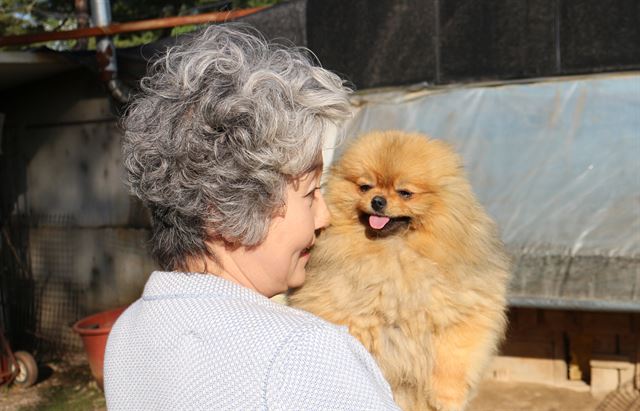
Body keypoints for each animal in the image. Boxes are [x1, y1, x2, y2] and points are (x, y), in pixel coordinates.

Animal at [290, 131, 510, 411]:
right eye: (365, 187)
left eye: (405, 193)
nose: (378, 201)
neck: (395, 252)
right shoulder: (346, 312)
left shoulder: (463, 313)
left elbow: (452, 359)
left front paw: (446, 396)